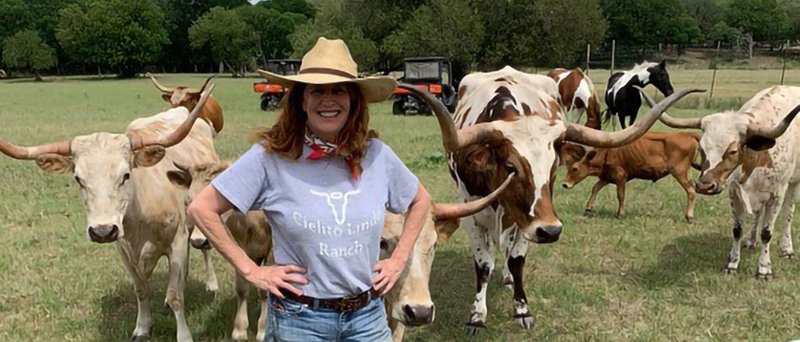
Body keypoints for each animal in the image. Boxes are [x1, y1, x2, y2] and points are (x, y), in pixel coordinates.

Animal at [0, 84, 219, 340]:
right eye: (78, 179)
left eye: (126, 175)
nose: (103, 231)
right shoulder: (123, 249)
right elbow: (141, 289)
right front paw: (142, 327)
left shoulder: (178, 238)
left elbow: (176, 296)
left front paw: (183, 334)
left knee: (203, 250)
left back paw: (211, 283)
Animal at [564, 132, 700, 220]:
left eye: (574, 168)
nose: (564, 184)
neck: (608, 152)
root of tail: (688, 135)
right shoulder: (607, 177)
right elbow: (595, 188)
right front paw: (588, 208)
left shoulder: (620, 176)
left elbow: (620, 195)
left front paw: (620, 213)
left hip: (679, 172)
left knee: (691, 191)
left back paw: (689, 216)